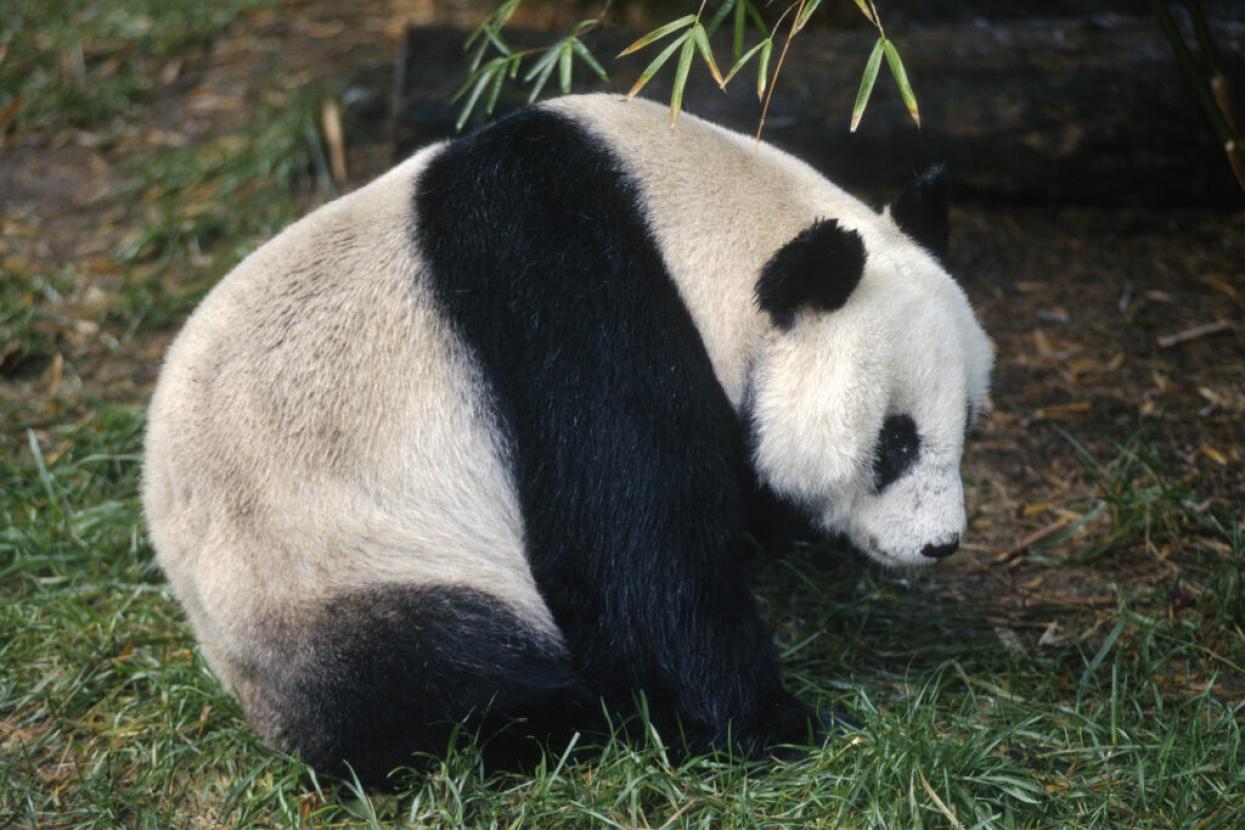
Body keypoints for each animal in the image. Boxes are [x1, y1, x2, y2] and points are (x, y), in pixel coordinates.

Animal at [142, 93, 993, 784]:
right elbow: (636, 551)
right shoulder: (575, 302)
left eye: (965, 424)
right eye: (892, 442)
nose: (939, 544)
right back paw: (576, 715)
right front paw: (787, 726)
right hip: (336, 564)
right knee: (435, 683)